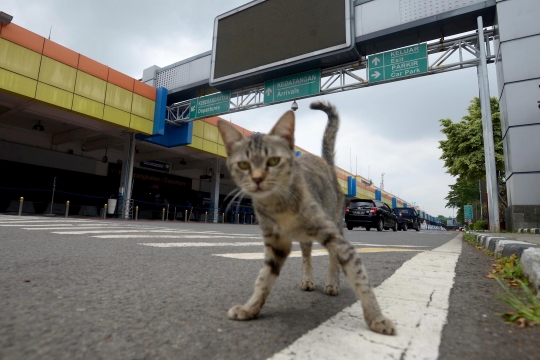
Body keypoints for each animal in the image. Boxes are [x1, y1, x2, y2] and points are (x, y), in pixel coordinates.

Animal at [216, 101, 396, 334]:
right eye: (244, 165)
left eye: (273, 161)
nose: (257, 179)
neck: (278, 203)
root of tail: (328, 165)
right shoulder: (276, 243)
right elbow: (264, 278)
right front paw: (251, 308)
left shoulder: (335, 237)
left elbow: (360, 279)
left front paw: (376, 318)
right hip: (305, 238)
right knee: (306, 256)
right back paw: (308, 279)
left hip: (335, 223)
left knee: (333, 258)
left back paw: (332, 284)